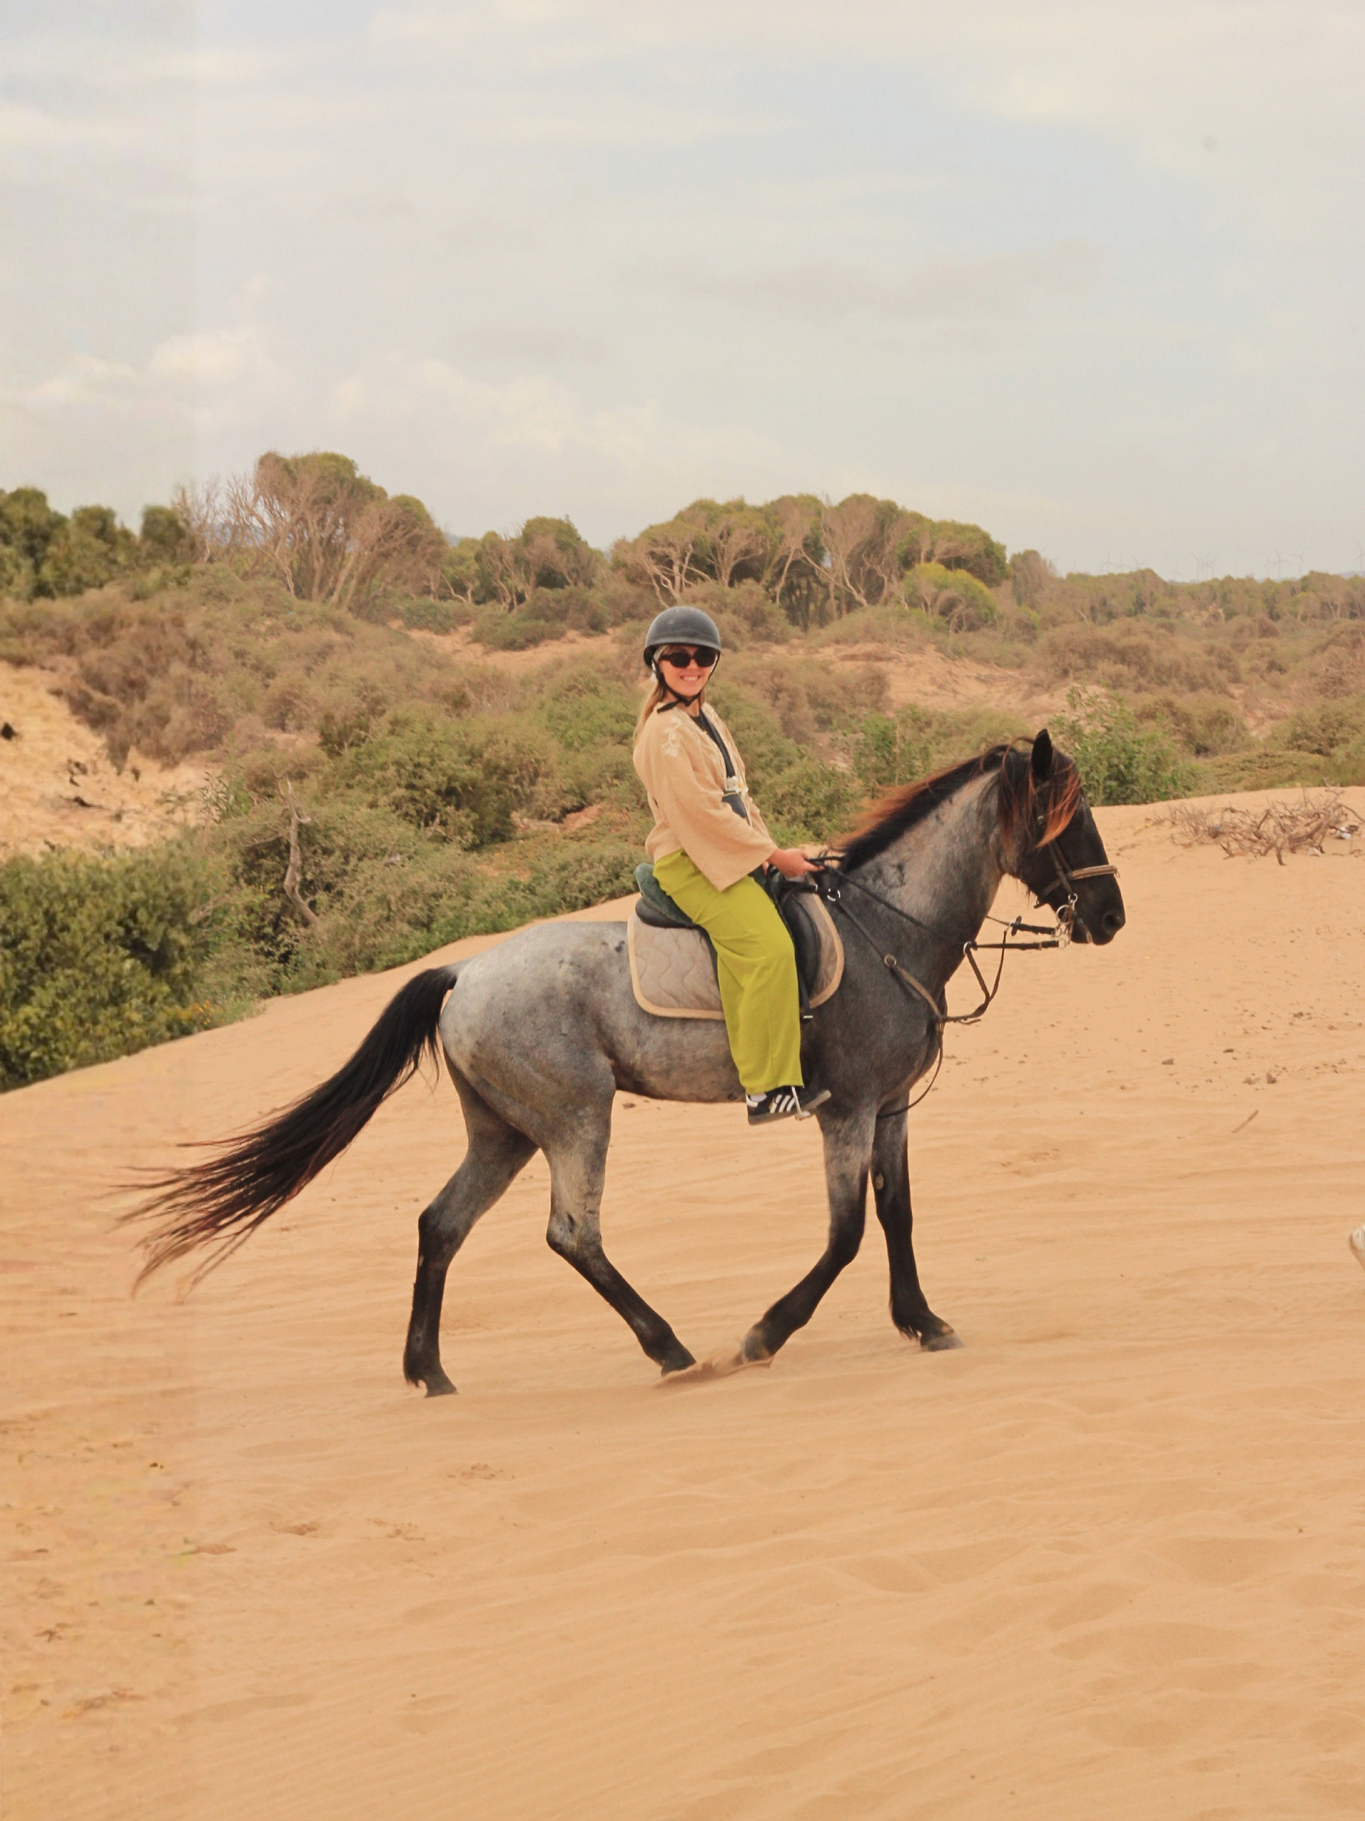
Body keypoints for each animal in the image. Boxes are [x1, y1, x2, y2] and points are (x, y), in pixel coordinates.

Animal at [128, 731, 1125, 1393]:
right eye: (1066, 820)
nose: (1111, 918)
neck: (887, 927)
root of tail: (462, 972)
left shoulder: (889, 1110)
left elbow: (898, 1215)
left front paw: (922, 1321)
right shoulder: (845, 1111)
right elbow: (846, 1234)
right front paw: (763, 1335)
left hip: (504, 1131)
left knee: (440, 1224)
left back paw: (430, 1372)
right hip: (575, 1116)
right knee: (573, 1233)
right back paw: (672, 1349)